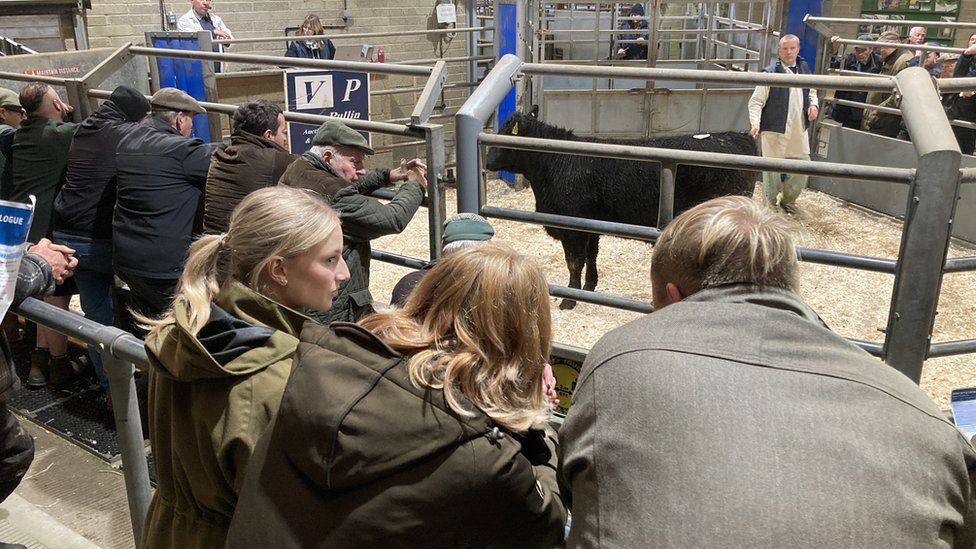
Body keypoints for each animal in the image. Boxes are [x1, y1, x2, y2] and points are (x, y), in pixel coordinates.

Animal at [484, 111, 760, 308]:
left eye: (504, 134)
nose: (486, 162)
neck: (554, 162)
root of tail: (738, 137)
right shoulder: (591, 224)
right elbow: (591, 256)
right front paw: (590, 287)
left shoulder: (572, 227)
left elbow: (574, 262)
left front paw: (569, 299)